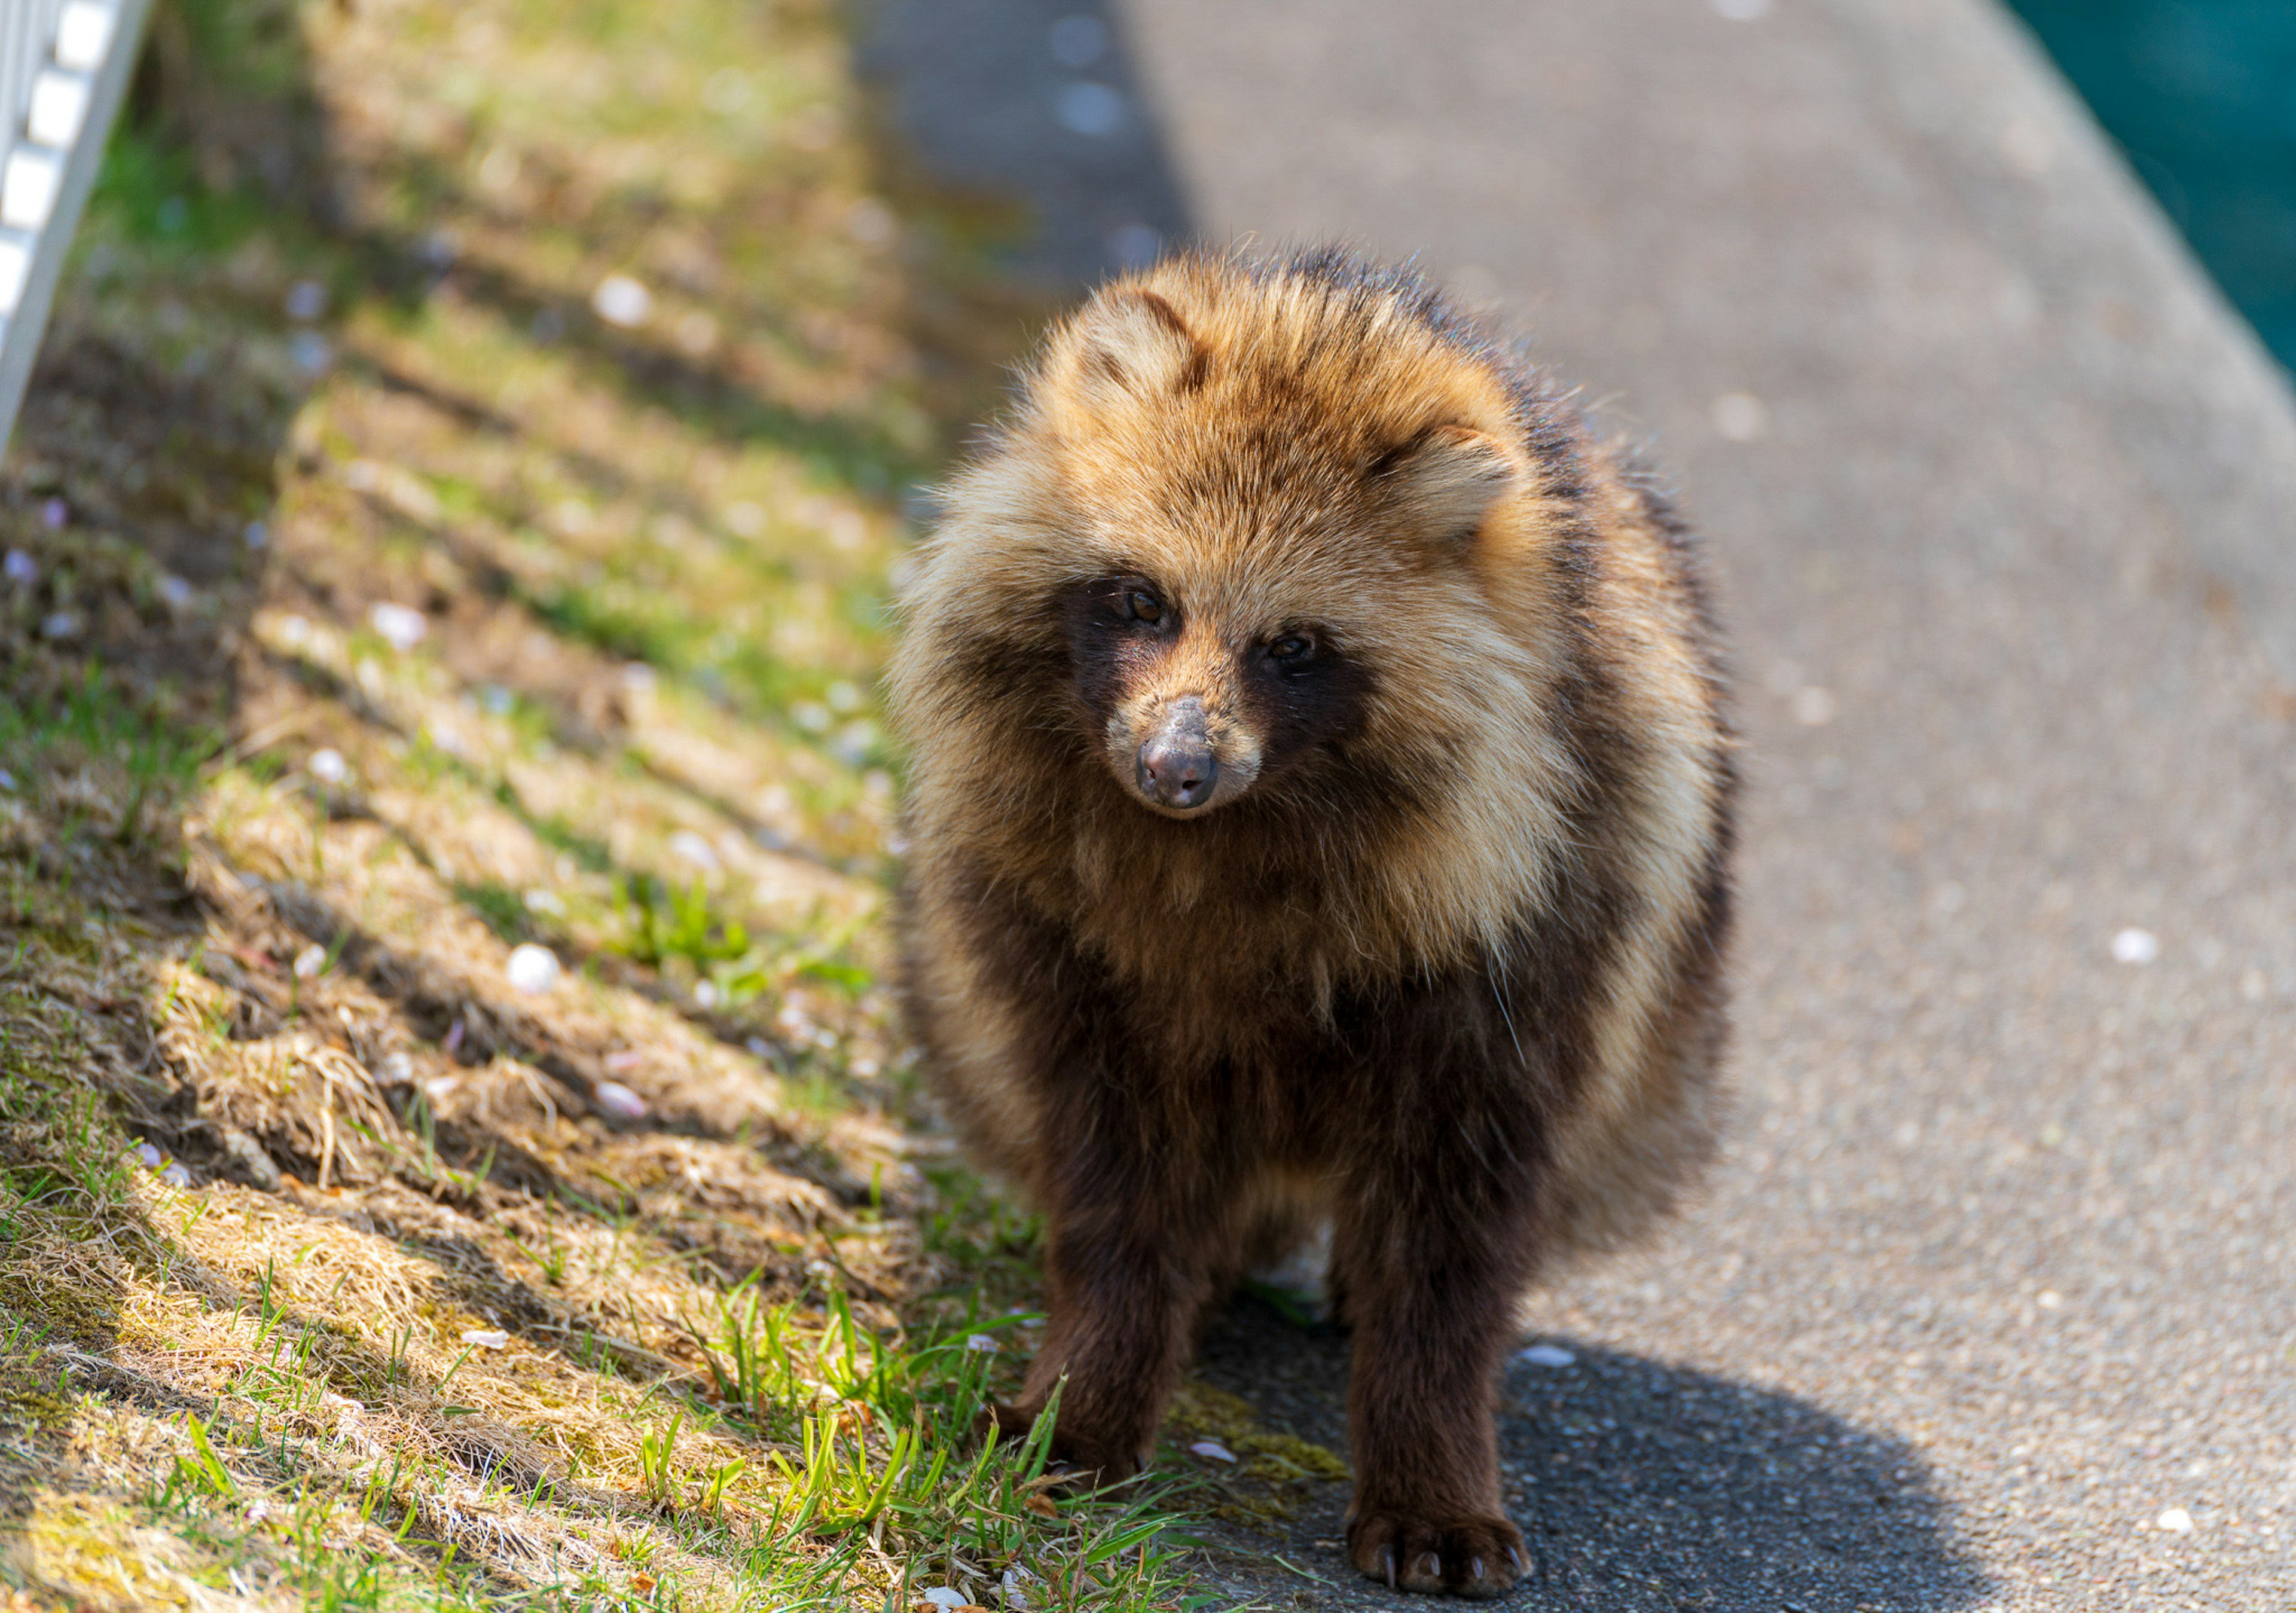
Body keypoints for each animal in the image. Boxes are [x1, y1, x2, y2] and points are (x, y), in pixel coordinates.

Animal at [886, 245, 1726, 1597]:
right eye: (1142, 600)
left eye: (1292, 646)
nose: (1176, 768)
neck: (1233, 833)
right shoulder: (1065, 944)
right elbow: (1113, 1185)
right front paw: (1086, 1390)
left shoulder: (1544, 923)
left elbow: (1453, 1241)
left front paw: (1431, 1461)